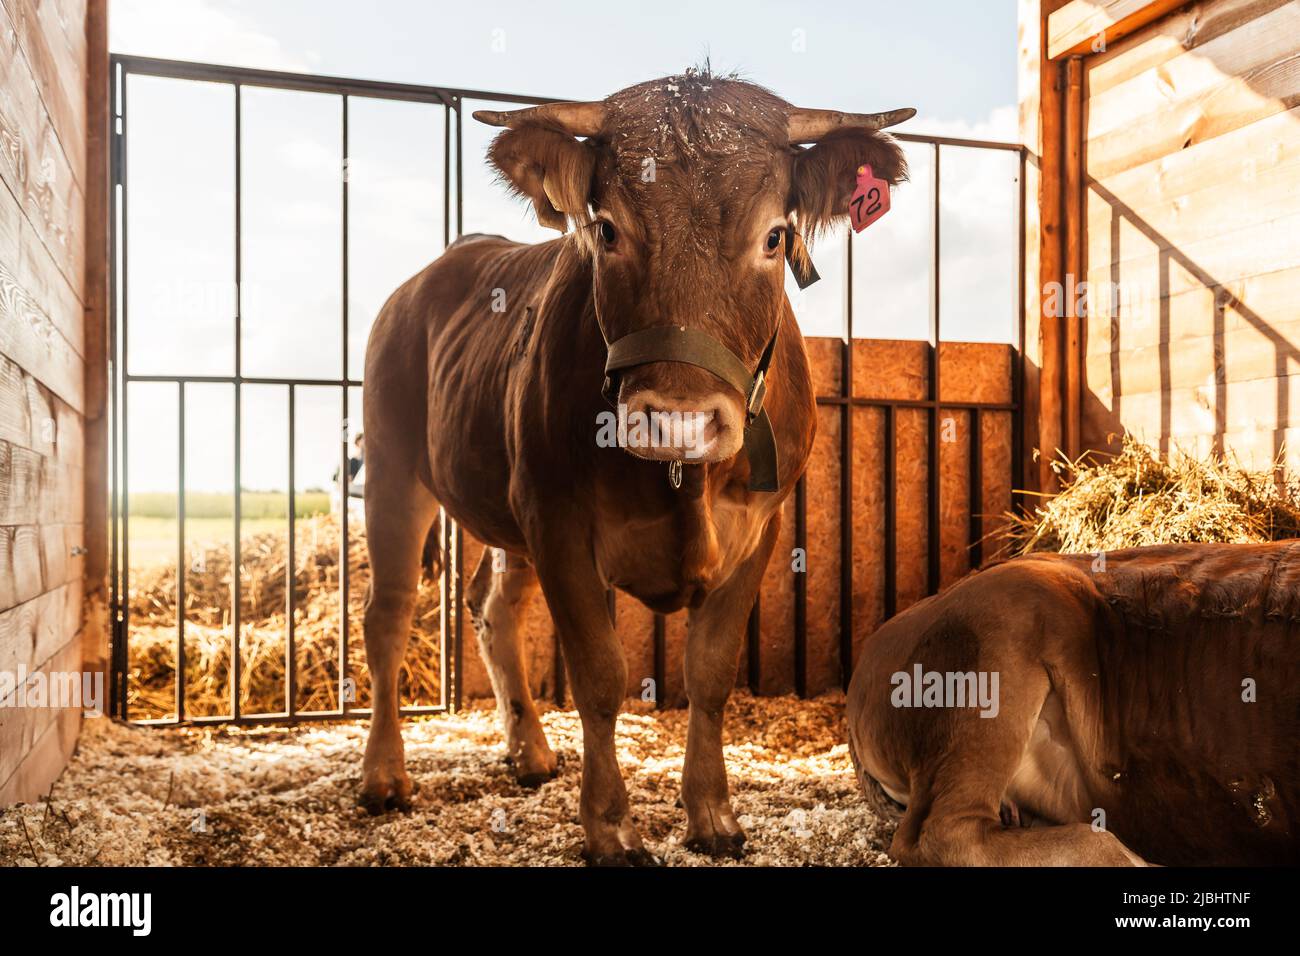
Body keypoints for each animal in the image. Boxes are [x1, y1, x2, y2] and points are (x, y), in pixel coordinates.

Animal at [358, 67, 913, 864]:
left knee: (493, 608)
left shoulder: (759, 531)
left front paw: (712, 814)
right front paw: (610, 827)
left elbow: (710, 674)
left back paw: (529, 752)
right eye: (608, 230)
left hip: (507, 513)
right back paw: (383, 775)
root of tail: (433, 273)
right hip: (393, 469)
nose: (677, 417)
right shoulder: (559, 524)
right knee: (389, 614)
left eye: (775, 236)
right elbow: (599, 677)